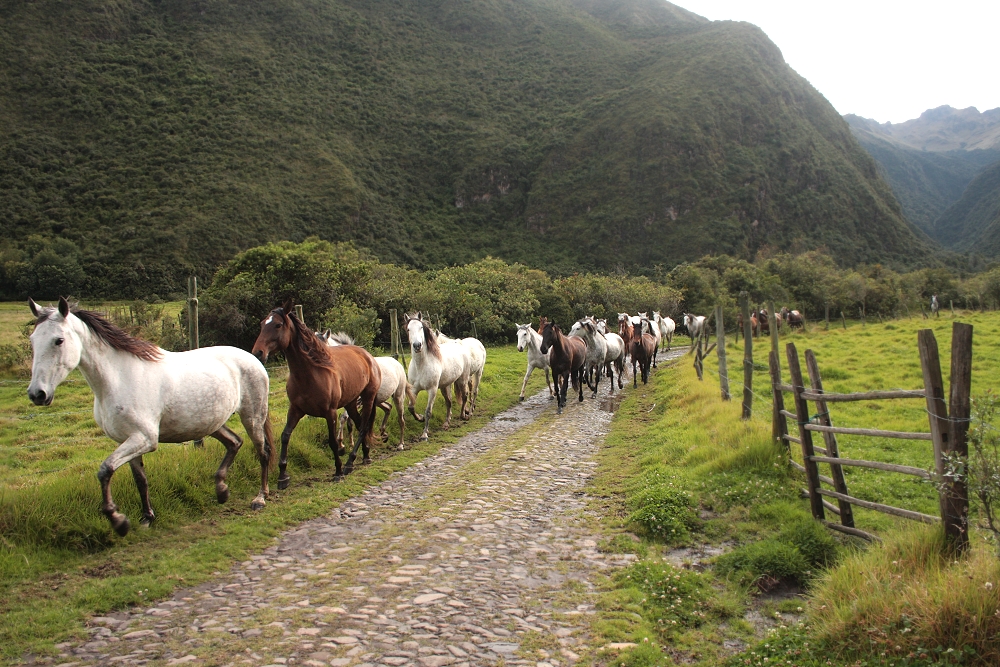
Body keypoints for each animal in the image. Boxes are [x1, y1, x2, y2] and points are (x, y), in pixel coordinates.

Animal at [26, 298, 274, 536]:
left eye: (58, 340)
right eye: (32, 340)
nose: (37, 394)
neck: (119, 378)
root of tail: (253, 358)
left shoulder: (145, 439)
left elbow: (105, 470)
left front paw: (119, 522)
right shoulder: (127, 440)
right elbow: (140, 480)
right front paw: (146, 518)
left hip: (252, 417)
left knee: (262, 452)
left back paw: (260, 498)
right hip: (210, 424)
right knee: (235, 442)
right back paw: (221, 491)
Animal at [252, 302, 380, 486]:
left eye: (278, 325)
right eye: (262, 324)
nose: (258, 353)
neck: (311, 373)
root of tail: (367, 355)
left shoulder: (330, 412)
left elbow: (332, 441)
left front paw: (338, 471)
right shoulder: (295, 409)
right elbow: (285, 436)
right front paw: (283, 476)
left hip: (368, 398)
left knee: (363, 427)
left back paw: (349, 463)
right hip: (351, 402)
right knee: (358, 424)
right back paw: (365, 455)